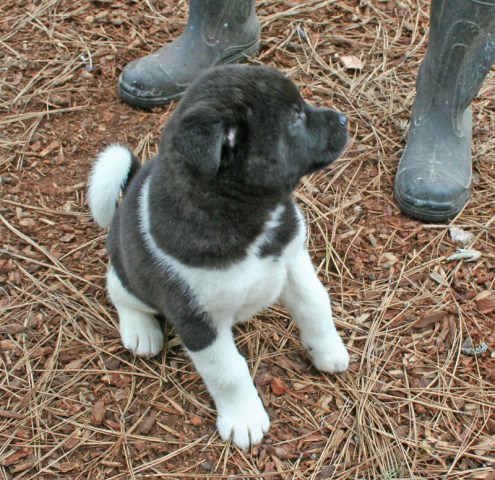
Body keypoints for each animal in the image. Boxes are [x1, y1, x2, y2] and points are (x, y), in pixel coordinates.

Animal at [90, 63, 352, 450]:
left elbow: (316, 304)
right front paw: (244, 419)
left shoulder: (292, 260)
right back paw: (141, 330)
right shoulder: (197, 320)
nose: (344, 119)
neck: (249, 217)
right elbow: (229, 371)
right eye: (295, 118)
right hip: (127, 272)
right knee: (119, 290)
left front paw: (327, 350)